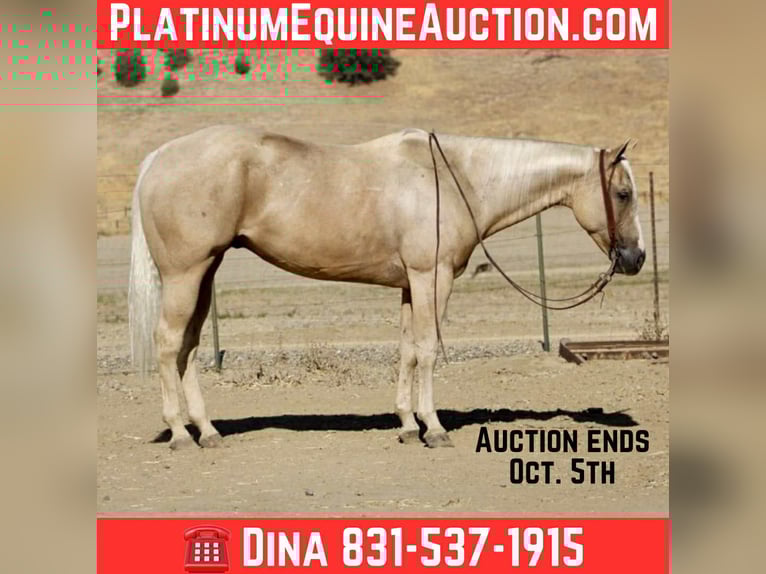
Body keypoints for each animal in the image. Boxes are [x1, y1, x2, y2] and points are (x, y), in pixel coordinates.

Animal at [128, 126, 644, 450]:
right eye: (623, 194)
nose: (636, 258)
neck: (458, 178)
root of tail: (159, 157)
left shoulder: (410, 285)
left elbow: (408, 352)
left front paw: (407, 425)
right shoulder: (432, 277)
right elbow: (429, 350)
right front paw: (433, 428)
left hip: (205, 272)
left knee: (190, 347)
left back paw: (207, 431)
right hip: (185, 274)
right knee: (168, 343)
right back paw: (181, 434)